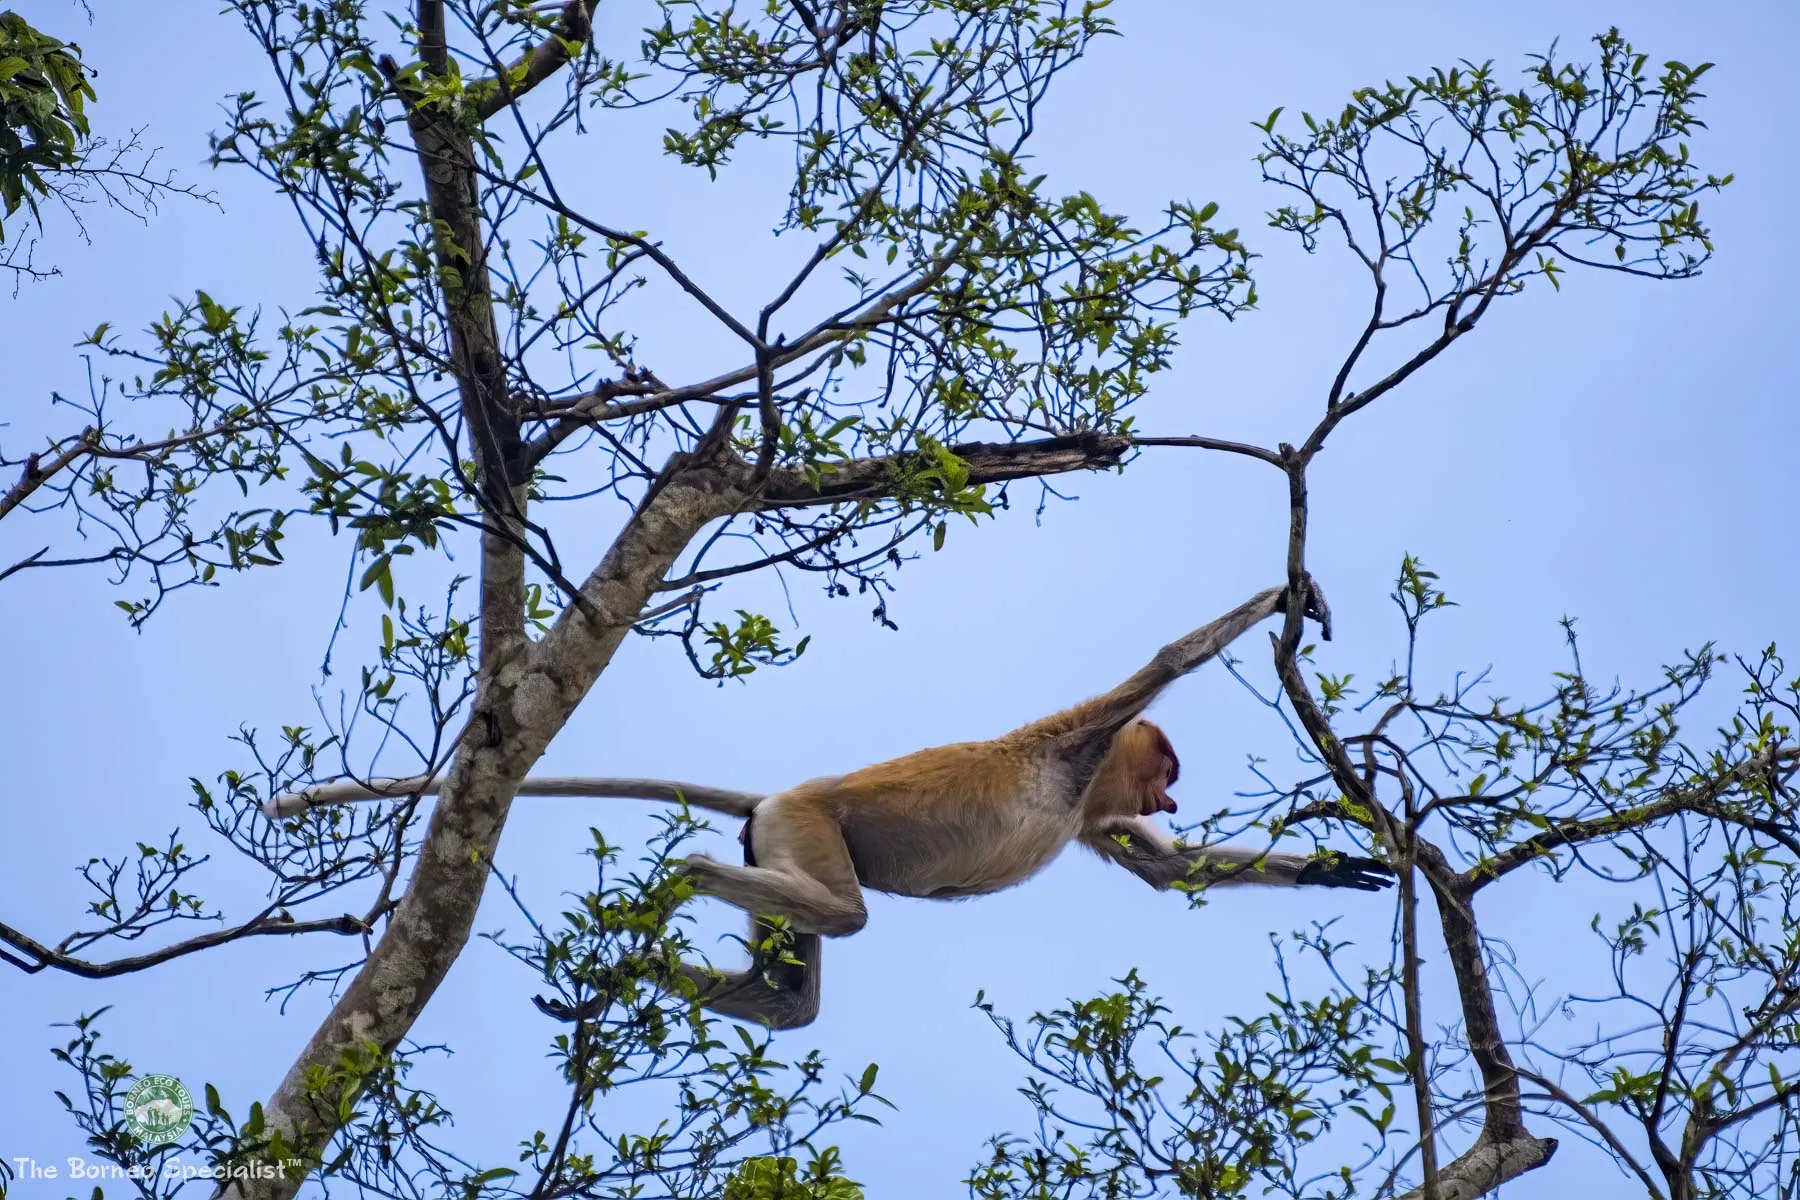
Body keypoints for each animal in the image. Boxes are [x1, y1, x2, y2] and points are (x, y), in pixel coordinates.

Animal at [264, 580, 1392, 1030]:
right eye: (1165, 766)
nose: (1173, 788)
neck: (1084, 779)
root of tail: (777, 793)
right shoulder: (1076, 742)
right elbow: (1165, 661)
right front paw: (1284, 601)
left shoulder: (1090, 807)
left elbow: (1162, 870)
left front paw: (1341, 866)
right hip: (808, 827)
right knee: (840, 913)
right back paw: (668, 891)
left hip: (776, 838)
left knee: (794, 997)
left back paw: (641, 977)